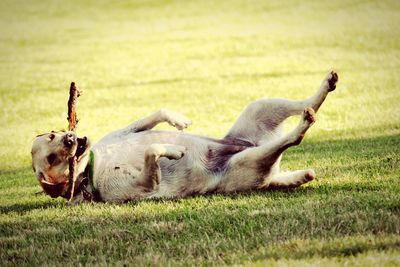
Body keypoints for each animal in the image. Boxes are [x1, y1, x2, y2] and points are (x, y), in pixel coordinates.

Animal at [30, 71, 338, 203]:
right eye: (52, 158)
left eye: (54, 135)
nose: (71, 139)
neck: (91, 164)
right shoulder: (140, 185)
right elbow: (152, 151)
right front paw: (172, 151)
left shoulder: (123, 131)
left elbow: (154, 116)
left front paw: (177, 120)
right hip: (250, 160)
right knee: (291, 140)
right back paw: (304, 126)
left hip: (260, 107)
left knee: (305, 102)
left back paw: (325, 87)